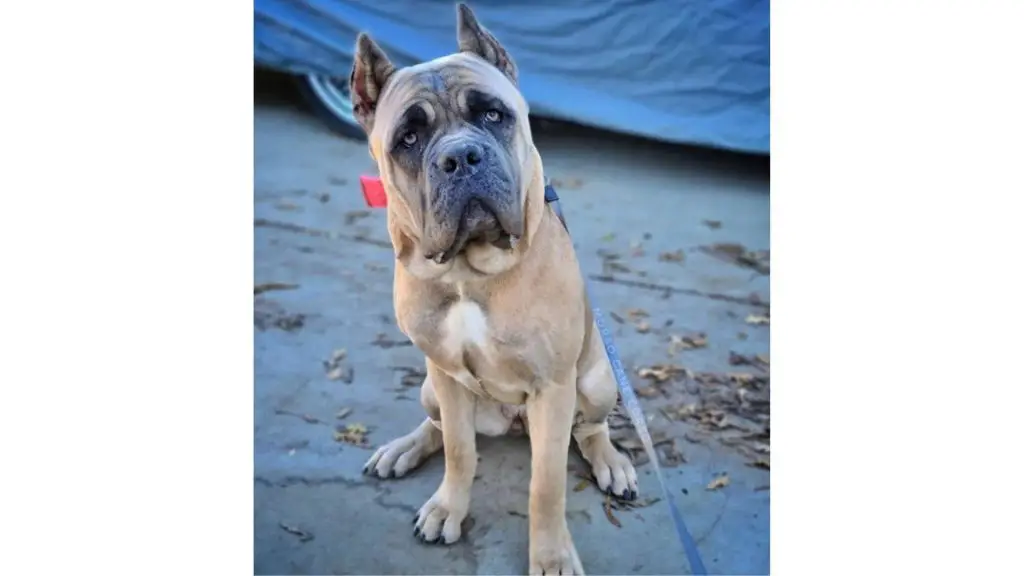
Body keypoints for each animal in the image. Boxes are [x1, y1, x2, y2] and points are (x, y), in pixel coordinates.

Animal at [352, 3, 638, 569]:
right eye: (408, 139)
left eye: (492, 116)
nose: (461, 157)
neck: (466, 271)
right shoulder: (445, 375)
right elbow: (460, 451)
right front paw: (448, 508)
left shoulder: (553, 387)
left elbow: (546, 485)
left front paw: (551, 555)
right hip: (430, 387)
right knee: (440, 429)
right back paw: (405, 448)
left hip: (598, 381)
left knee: (590, 428)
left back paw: (611, 461)